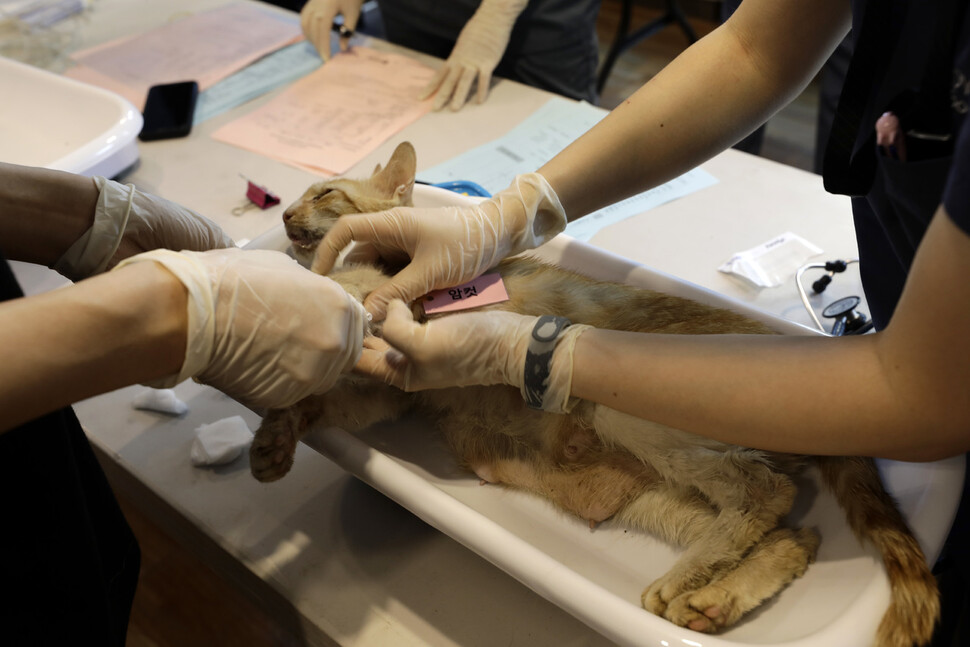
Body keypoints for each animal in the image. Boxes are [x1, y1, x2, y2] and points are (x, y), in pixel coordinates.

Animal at [250, 143, 936, 647]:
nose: (281, 217)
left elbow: (349, 292)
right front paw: (273, 435)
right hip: (663, 497)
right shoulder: (389, 394)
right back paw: (713, 597)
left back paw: (688, 585)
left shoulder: (399, 314)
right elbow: (322, 402)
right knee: (792, 536)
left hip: (626, 405)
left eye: (325, 193)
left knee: (765, 492)